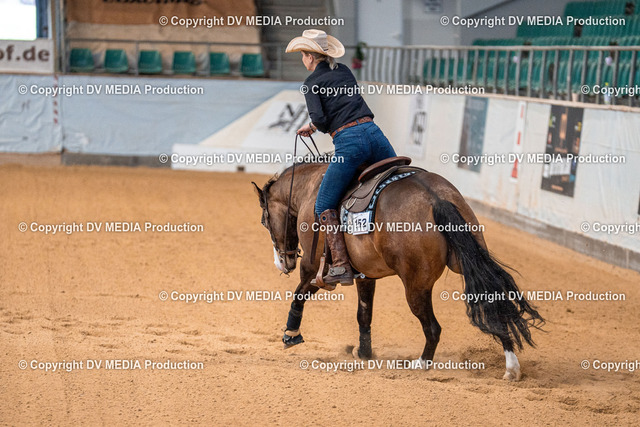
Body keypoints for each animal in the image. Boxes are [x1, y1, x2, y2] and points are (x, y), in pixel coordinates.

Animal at [252, 160, 543, 381]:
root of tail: (435, 199)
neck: (310, 189)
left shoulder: (314, 270)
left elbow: (299, 295)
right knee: (495, 302)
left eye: (265, 220)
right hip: (467, 261)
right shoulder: (364, 274)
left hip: (416, 287)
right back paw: (511, 367)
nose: (283, 263)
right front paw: (364, 353)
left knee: (433, 328)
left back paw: (421, 363)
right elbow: (364, 314)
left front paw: (290, 335)